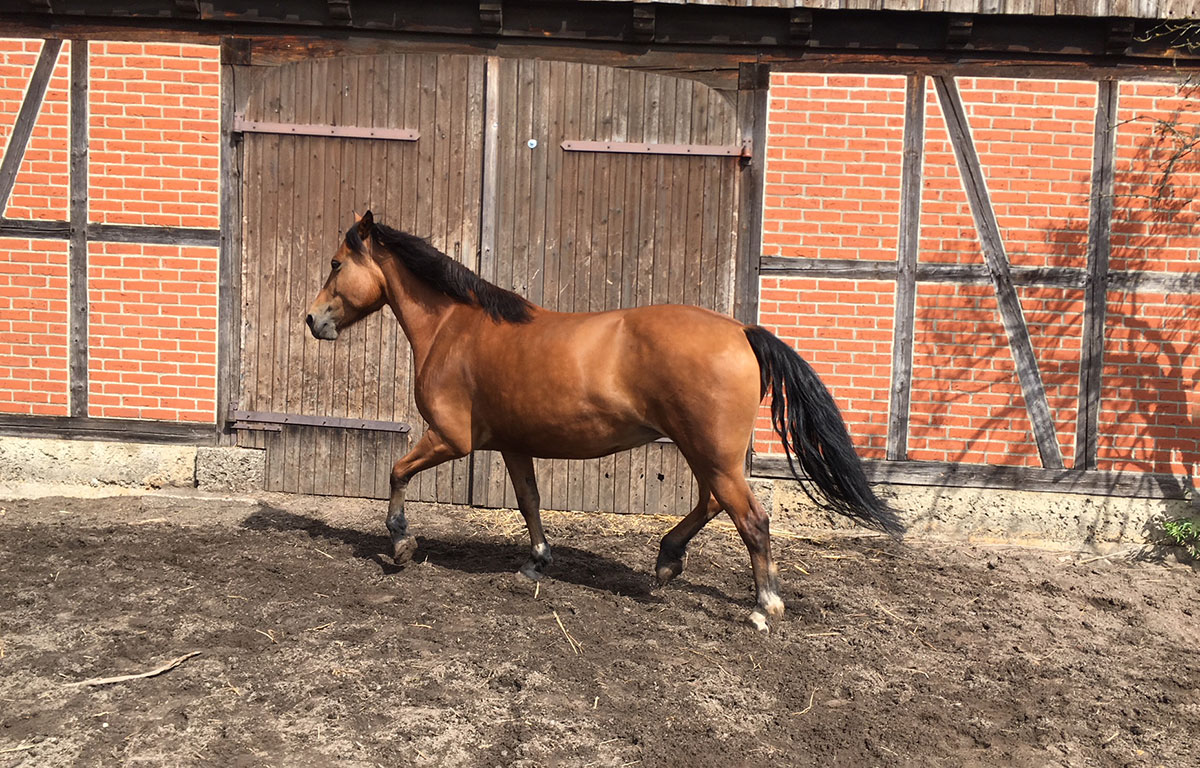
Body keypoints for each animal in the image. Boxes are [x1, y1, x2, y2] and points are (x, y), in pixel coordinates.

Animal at [305, 211, 903, 631]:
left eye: (335, 263)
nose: (312, 320)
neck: (456, 327)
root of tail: (740, 330)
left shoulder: (451, 439)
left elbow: (397, 472)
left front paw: (400, 544)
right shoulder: (514, 445)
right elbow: (529, 501)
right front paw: (536, 563)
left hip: (711, 452)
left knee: (751, 519)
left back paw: (764, 606)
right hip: (706, 452)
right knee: (713, 504)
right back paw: (666, 562)